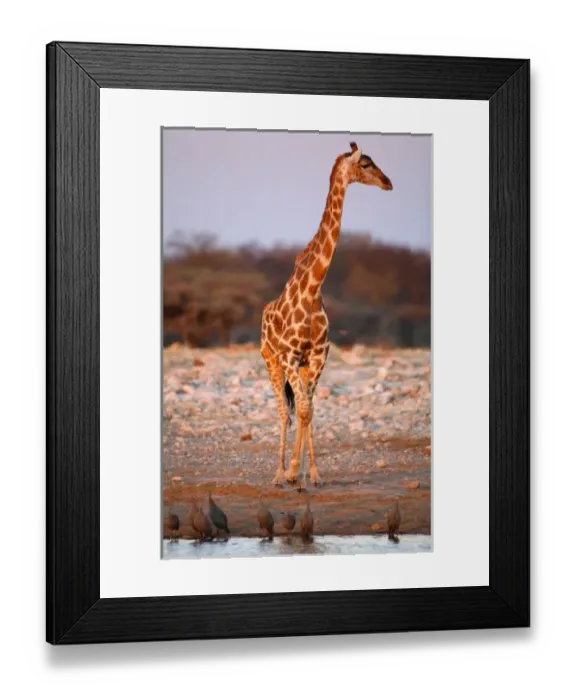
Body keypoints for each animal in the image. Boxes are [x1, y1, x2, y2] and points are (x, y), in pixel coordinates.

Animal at [260, 142, 393, 491]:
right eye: (365, 164)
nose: (388, 182)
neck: (312, 290)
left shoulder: (318, 357)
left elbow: (310, 410)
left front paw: (309, 474)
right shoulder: (289, 357)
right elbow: (299, 410)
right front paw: (292, 472)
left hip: (302, 366)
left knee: (301, 407)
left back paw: (298, 473)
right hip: (271, 360)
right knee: (284, 411)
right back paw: (277, 474)